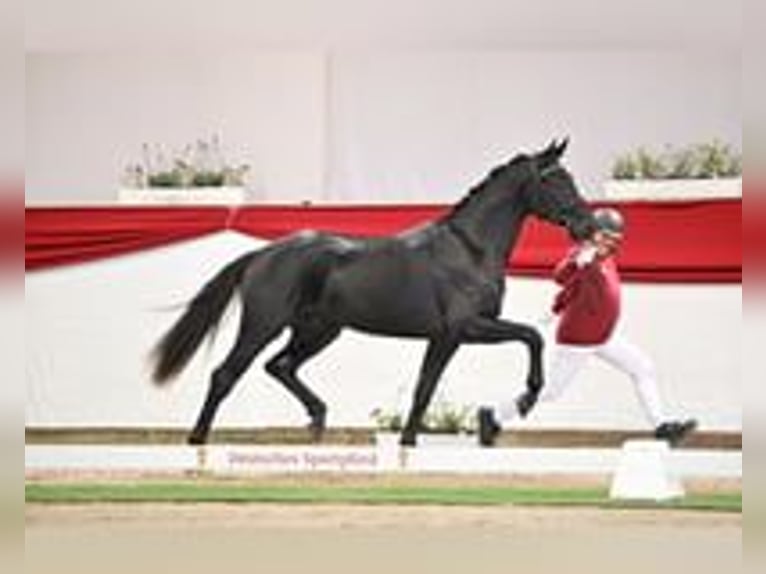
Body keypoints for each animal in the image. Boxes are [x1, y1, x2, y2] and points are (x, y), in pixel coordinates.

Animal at [150, 139, 597, 446]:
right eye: (555, 180)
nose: (589, 225)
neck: (469, 248)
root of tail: (262, 254)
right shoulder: (463, 328)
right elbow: (530, 337)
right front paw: (527, 398)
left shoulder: (450, 335)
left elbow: (426, 386)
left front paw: (408, 442)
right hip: (263, 325)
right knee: (227, 373)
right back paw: (197, 441)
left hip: (318, 331)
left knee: (280, 366)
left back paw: (317, 419)